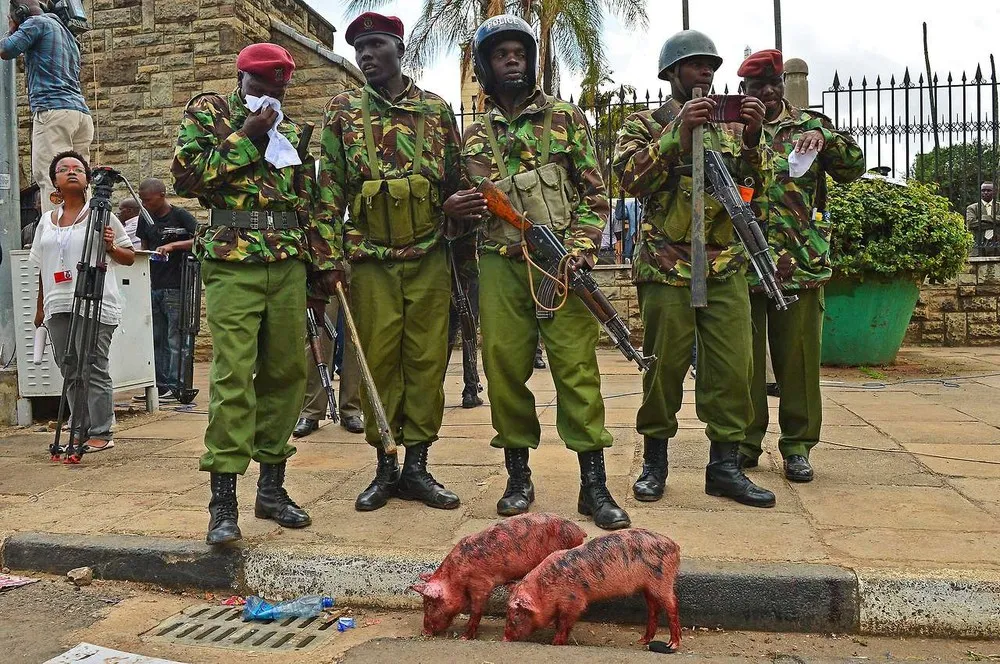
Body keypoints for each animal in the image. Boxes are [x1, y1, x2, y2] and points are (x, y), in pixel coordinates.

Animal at [410, 512, 588, 640]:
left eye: (430, 603)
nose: (424, 632)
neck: (456, 577)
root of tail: (579, 530)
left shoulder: (481, 584)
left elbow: (476, 610)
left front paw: (464, 637)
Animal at [508, 528, 680, 648]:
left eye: (517, 613)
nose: (505, 638)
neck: (544, 588)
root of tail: (675, 546)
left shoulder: (574, 600)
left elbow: (565, 622)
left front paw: (555, 643)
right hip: (648, 586)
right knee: (653, 608)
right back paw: (642, 641)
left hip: (662, 580)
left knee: (672, 604)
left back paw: (672, 645)